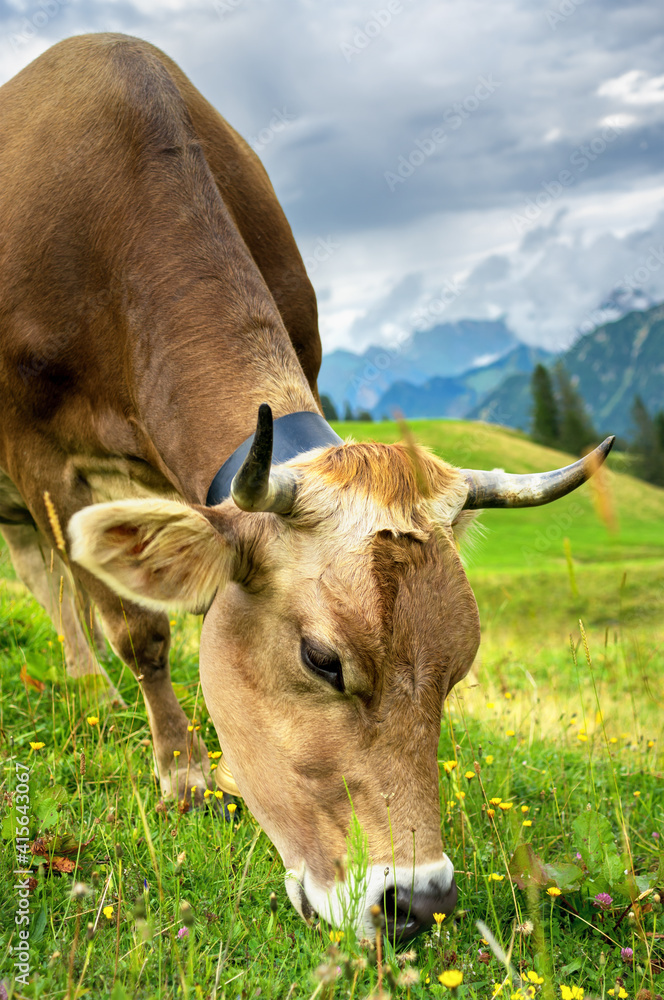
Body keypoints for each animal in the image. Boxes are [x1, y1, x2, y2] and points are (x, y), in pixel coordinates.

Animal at [0, 31, 612, 936]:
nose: (418, 902)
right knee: (51, 576)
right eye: (322, 661)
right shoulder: (38, 454)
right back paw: (91, 684)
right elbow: (137, 625)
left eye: (459, 664)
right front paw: (184, 773)